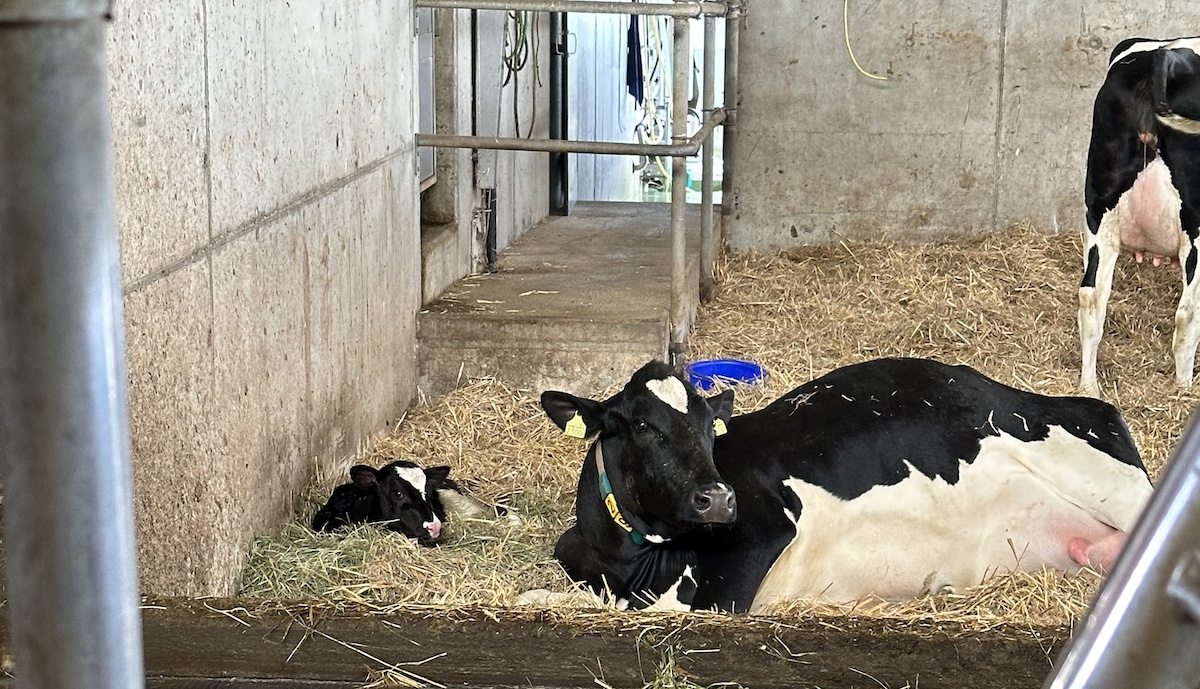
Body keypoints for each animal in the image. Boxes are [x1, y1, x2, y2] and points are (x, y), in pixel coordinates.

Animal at [542, 358, 1153, 613]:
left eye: (706, 426)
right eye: (641, 425)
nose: (718, 498)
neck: (632, 565)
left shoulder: (760, 534)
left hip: (1096, 470)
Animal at [1079, 36, 1200, 395]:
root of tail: (1164, 56)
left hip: (1100, 211)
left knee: (1091, 298)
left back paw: (1088, 387)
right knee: (1188, 314)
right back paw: (1184, 390)